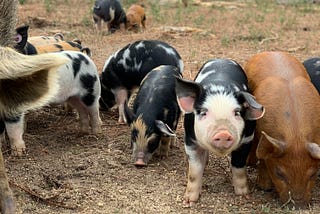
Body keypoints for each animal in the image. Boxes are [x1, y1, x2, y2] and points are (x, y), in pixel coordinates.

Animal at [175, 59, 264, 206]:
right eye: (203, 112)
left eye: (237, 113)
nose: (223, 133)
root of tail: (221, 59)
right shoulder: (190, 141)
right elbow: (194, 171)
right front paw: (188, 202)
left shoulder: (247, 139)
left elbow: (239, 166)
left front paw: (244, 196)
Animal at [244, 51, 320, 207]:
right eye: (279, 173)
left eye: (313, 174)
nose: (297, 204)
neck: (295, 136)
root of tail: (271, 51)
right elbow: (263, 159)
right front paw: (264, 187)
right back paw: (250, 163)